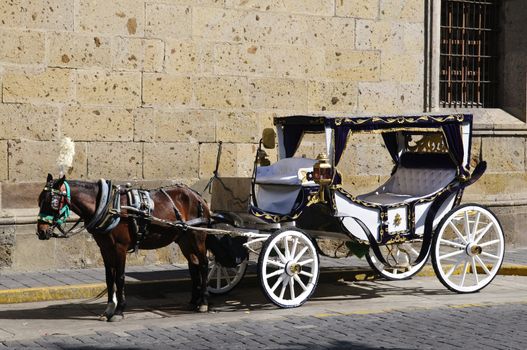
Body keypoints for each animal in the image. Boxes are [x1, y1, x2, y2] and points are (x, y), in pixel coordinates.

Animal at [35, 174, 210, 322]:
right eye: (39, 200)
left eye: (52, 202)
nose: (41, 231)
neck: (108, 207)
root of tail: (197, 195)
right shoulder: (105, 248)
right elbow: (109, 278)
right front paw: (108, 310)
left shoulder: (120, 248)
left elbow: (119, 277)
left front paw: (119, 311)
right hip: (184, 240)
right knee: (193, 266)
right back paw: (193, 301)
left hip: (198, 236)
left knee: (204, 265)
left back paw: (203, 302)